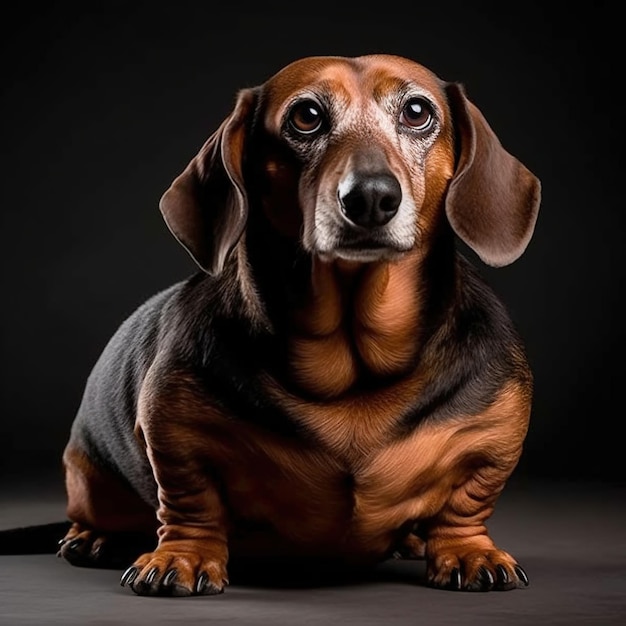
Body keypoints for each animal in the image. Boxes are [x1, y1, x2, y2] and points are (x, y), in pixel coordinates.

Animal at [50, 54, 540, 596]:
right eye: (306, 116)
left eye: (417, 111)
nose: (370, 197)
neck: (354, 366)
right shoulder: (173, 436)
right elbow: (190, 501)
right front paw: (184, 555)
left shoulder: (494, 436)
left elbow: (468, 499)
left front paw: (469, 550)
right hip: (88, 473)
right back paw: (92, 537)